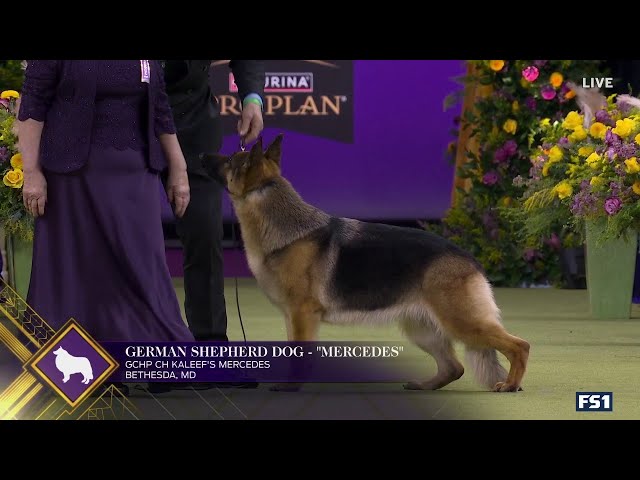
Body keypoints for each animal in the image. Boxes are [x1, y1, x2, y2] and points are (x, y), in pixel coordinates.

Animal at [204, 136, 528, 394]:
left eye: (230, 159)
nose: (202, 155)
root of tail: (470, 259)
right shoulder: (292, 317)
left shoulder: (301, 315)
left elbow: (299, 356)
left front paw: (291, 386)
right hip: (422, 329)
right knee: (454, 368)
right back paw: (424, 386)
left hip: (461, 322)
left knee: (519, 346)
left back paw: (510, 385)